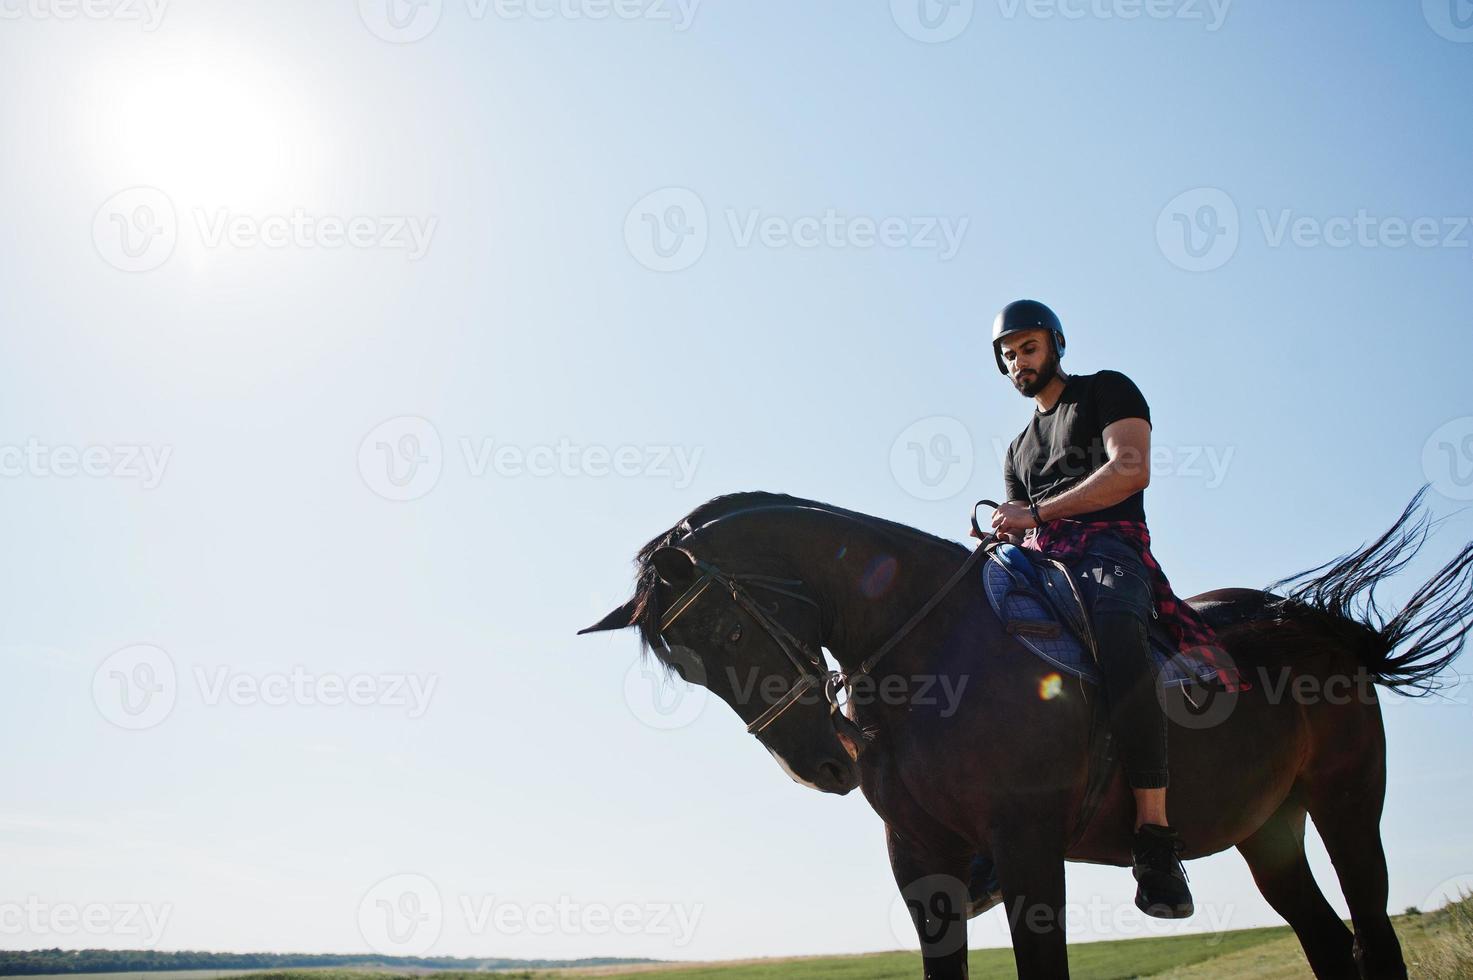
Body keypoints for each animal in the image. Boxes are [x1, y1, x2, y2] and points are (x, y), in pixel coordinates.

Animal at [577, 486, 1473, 972]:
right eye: (689, 671)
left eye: (729, 633)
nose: (819, 768)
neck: (929, 644)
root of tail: (1309, 623)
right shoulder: (921, 863)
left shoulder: (1029, 848)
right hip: (1268, 830)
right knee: (1327, 943)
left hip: (1346, 803)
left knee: (1373, 936)